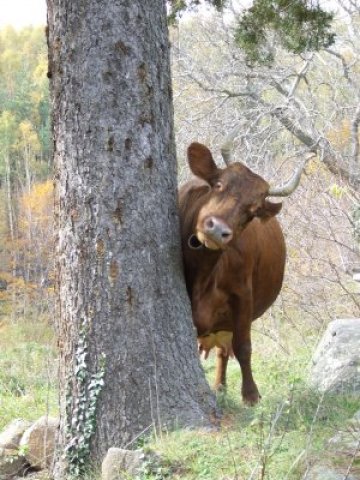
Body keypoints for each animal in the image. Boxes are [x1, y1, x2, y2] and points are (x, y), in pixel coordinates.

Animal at [180, 142, 304, 404]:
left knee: (223, 351)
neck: (204, 273)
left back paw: (219, 385)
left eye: (253, 210)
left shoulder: (243, 294)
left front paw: (250, 394)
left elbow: (243, 346)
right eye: (218, 184)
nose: (217, 229)